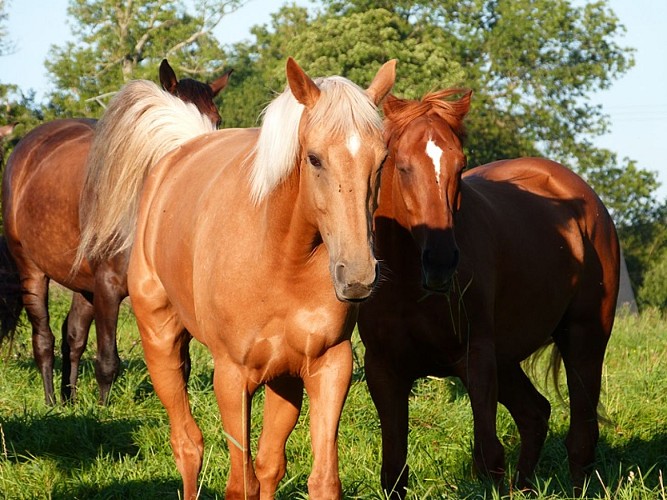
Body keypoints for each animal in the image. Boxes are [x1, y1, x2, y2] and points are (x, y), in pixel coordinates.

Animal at [0, 60, 234, 404]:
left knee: (74, 336)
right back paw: (52, 402)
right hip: (31, 271)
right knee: (44, 339)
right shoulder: (108, 288)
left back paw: (70, 401)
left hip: (84, 285)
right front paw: (102, 410)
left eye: (217, 120)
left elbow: (180, 364)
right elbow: (108, 360)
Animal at [113, 57, 396, 496]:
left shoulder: (330, 366)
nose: (358, 276)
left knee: (268, 464)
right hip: (160, 342)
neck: (279, 257)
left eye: (381, 160)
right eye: (314, 158)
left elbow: (318, 479)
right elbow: (239, 483)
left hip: (283, 378)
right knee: (188, 446)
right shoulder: (231, 377)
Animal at [358, 90, 624, 496]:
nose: (440, 260)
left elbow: (488, 456)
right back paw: (526, 489)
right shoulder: (383, 370)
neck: (407, 284)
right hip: (508, 358)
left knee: (581, 436)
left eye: (460, 166)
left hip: (584, 340)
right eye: (402, 166)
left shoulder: (476, 358)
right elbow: (393, 472)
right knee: (535, 414)